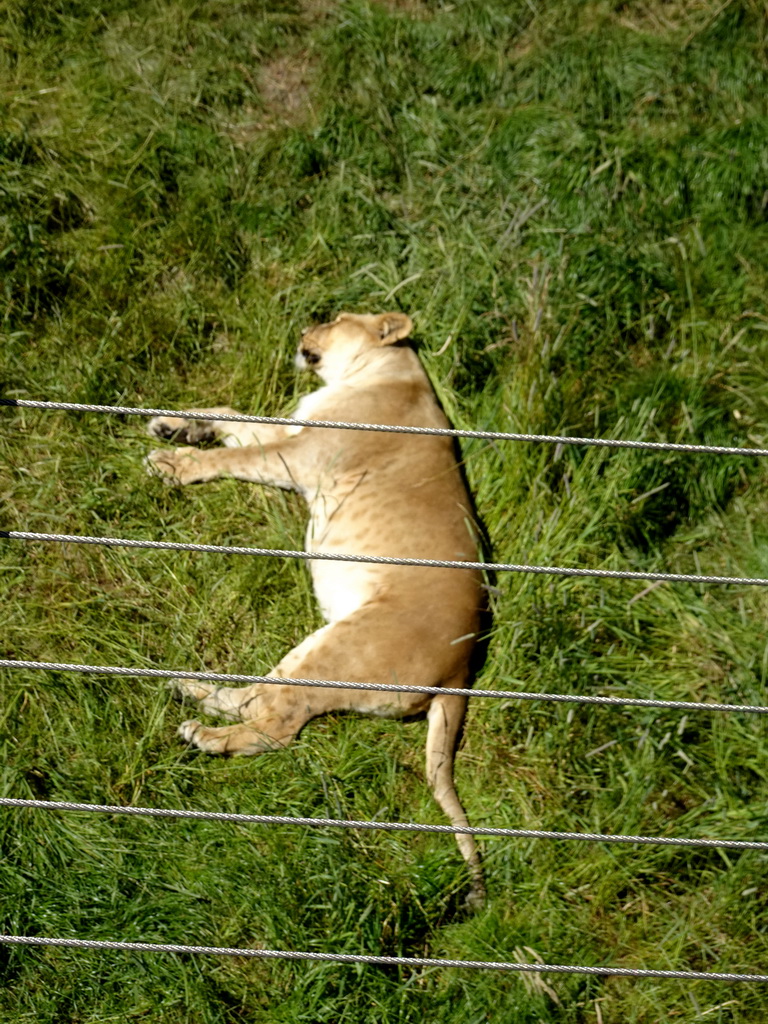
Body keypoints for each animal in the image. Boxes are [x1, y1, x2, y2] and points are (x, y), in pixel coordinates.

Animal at [144, 309, 487, 905]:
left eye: (339, 318)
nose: (306, 326)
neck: (383, 371)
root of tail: (462, 670)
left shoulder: (299, 454)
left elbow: (236, 453)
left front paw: (174, 461)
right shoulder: (290, 432)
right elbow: (231, 415)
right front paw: (175, 426)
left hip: (339, 647)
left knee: (278, 724)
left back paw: (204, 734)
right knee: (256, 698)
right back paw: (191, 690)